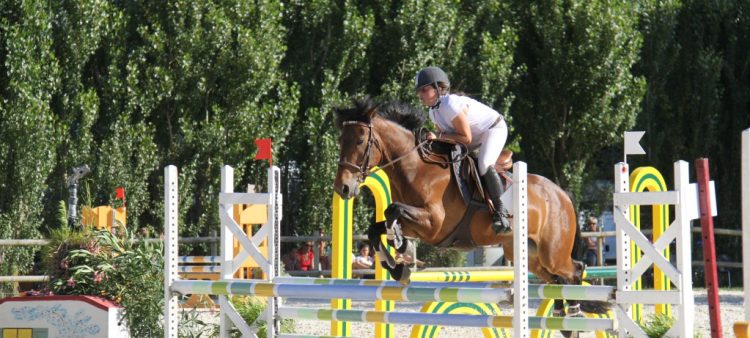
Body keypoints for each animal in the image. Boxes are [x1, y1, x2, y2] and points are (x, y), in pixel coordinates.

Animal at [334, 97, 612, 332]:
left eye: (359, 141)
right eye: (341, 141)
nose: (343, 188)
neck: (416, 168)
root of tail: (560, 193)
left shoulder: (434, 225)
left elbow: (393, 211)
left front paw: (400, 246)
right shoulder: (419, 224)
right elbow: (376, 228)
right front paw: (397, 267)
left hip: (553, 252)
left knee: (574, 271)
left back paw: (574, 315)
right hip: (532, 256)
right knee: (556, 280)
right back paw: (563, 319)